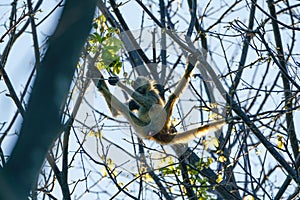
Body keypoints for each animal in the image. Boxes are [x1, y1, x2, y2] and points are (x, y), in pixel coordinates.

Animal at [97, 55, 226, 144]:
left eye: (140, 88)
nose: (139, 91)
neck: (146, 91)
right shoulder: (137, 100)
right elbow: (116, 111)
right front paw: (103, 83)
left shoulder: (151, 93)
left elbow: (150, 104)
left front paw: (119, 83)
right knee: (122, 109)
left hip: (158, 123)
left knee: (170, 98)